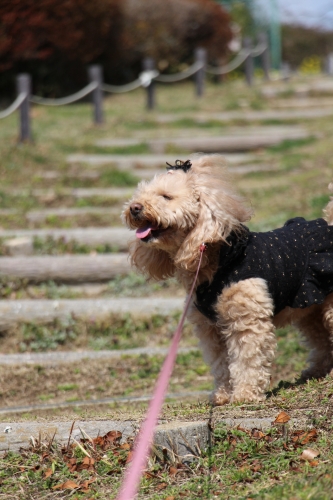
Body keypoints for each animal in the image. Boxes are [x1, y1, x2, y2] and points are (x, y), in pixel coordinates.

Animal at [121, 154, 332, 404]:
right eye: (139, 195)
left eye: (166, 196)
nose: (134, 208)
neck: (218, 262)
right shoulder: (211, 328)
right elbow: (221, 363)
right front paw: (222, 394)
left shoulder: (247, 320)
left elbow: (247, 358)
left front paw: (245, 394)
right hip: (310, 309)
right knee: (320, 339)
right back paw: (317, 371)